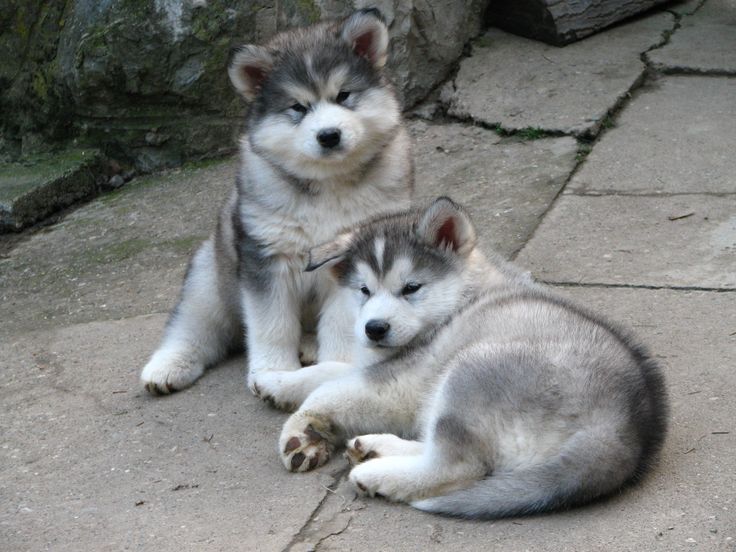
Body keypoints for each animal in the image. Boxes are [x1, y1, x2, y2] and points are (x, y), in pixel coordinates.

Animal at [268, 197, 668, 516]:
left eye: (411, 288)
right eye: (363, 290)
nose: (374, 328)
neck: (461, 300)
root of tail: (624, 429)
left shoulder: (397, 383)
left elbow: (329, 390)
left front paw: (299, 428)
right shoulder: (383, 367)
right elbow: (329, 371)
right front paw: (276, 382)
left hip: (469, 368)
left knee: (456, 467)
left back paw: (376, 474)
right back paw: (376, 447)